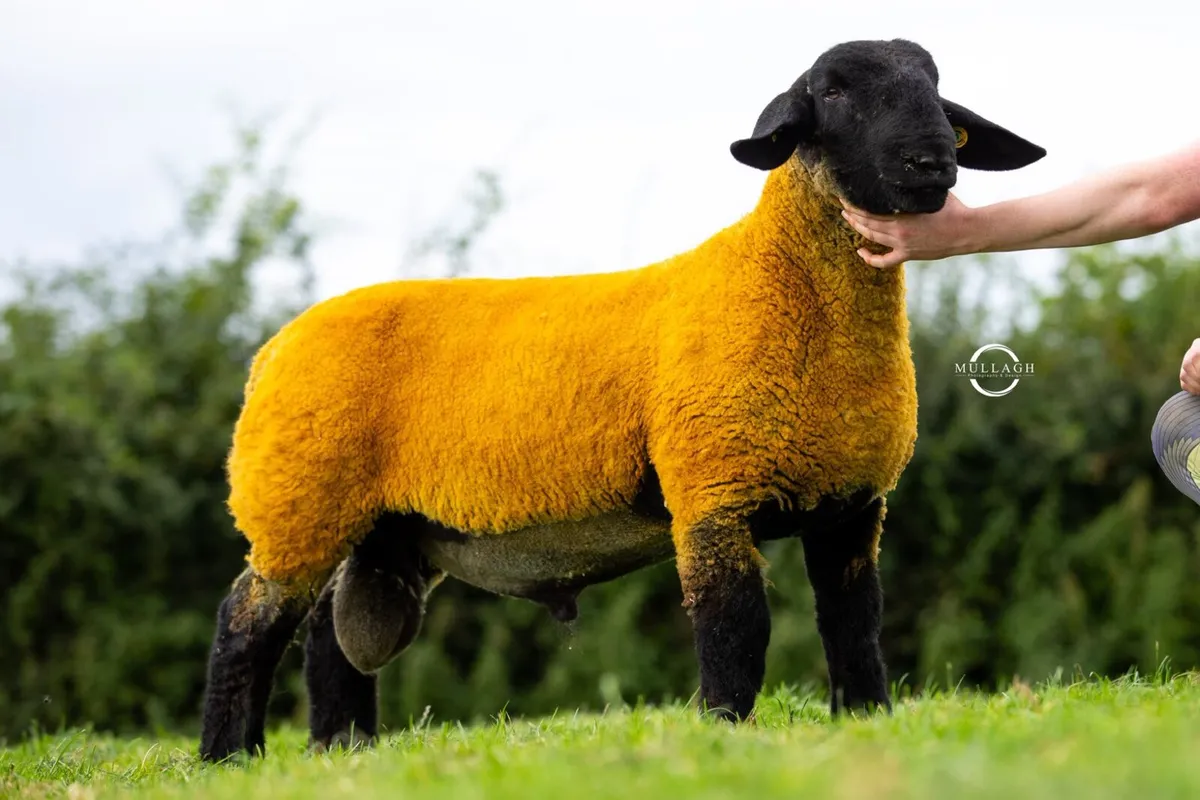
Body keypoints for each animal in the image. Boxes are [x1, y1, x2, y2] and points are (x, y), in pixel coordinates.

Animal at [199, 37, 1045, 761]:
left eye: (935, 87)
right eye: (833, 91)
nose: (931, 160)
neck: (788, 288)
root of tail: (273, 348)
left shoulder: (852, 502)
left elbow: (854, 623)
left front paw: (866, 720)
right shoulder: (712, 489)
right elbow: (735, 626)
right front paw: (724, 732)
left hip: (380, 528)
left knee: (328, 642)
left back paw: (341, 752)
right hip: (296, 499)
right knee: (247, 621)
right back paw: (228, 757)